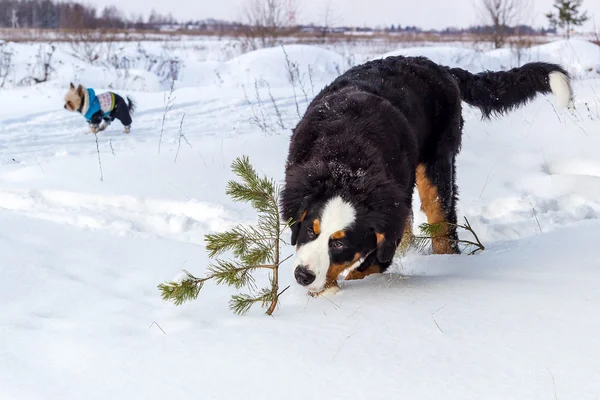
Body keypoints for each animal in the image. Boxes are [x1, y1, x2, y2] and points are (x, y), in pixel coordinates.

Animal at [282, 54, 572, 296]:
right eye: (309, 230)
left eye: (340, 244)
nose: (302, 276)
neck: (345, 159)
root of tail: (437, 66)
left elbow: (373, 262)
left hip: (436, 164)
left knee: (442, 221)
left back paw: (445, 259)